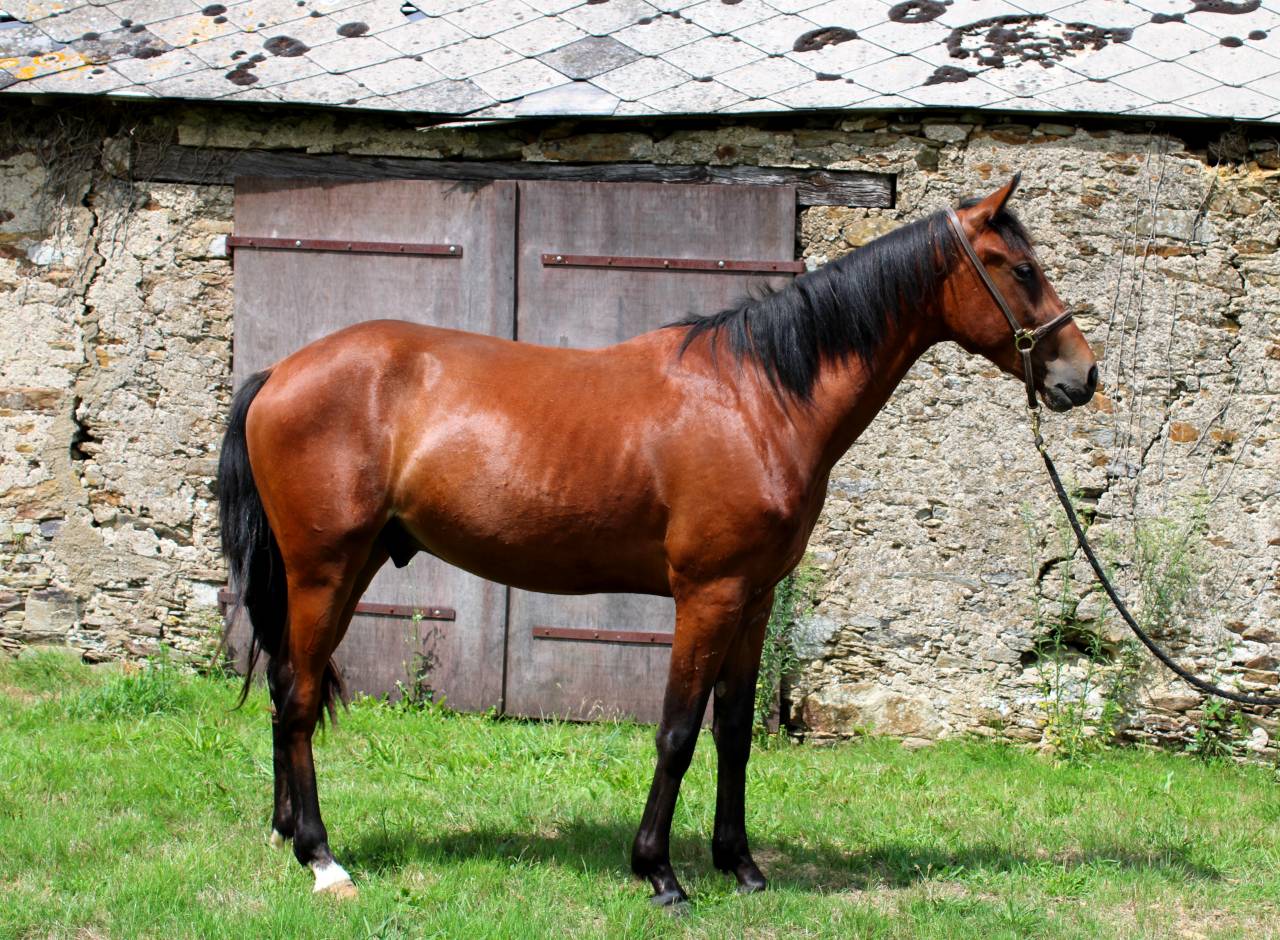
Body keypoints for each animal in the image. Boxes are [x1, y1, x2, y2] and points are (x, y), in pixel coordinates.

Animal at [217, 175, 1098, 904]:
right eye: (1018, 267)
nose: (1081, 376)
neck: (758, 398)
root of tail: (279, 373)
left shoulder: (754, 599)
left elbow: (733, 733)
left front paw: (741, 865)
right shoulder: (707, 596)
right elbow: (676, 731)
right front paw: (659, 872)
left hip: (349, 567)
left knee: (287, 687)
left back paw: (287, 835)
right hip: (325, 569)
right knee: (299, 697)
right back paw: (323, 858)